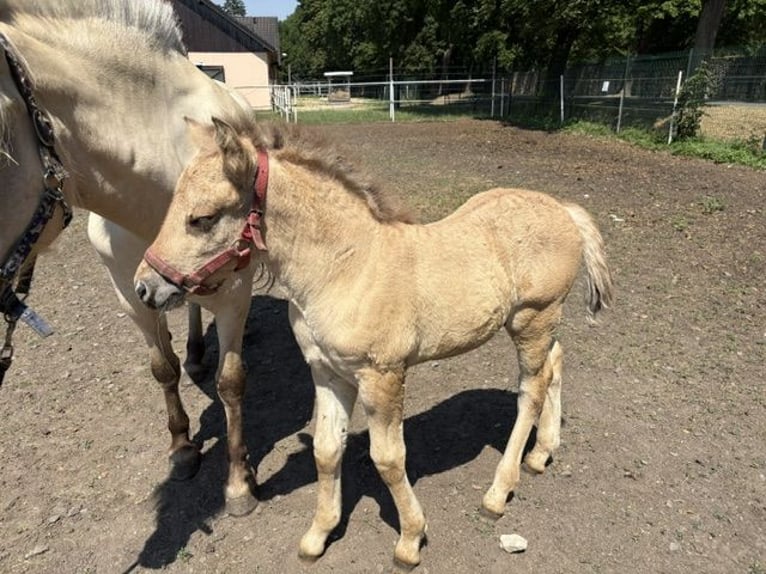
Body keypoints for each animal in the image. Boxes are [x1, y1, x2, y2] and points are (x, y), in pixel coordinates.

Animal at [0, 0, 260, 515]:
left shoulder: (234, 294)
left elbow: (231, 382)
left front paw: (239, 483)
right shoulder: (129, 291)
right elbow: (162, 368)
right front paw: (182, 449)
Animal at [134, 117, 615, 568]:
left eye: (203, 218)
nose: (144, 287)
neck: (345, 267)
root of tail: (563, 209)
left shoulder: (382, 376)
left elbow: (388, 458)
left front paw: (410, 539)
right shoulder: (326, 372)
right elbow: (327, 450)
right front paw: (318, 534)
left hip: (533, 318)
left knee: (530, 390)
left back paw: (498, 492)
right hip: (539, 325)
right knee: (555, 362)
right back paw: (542, 453)